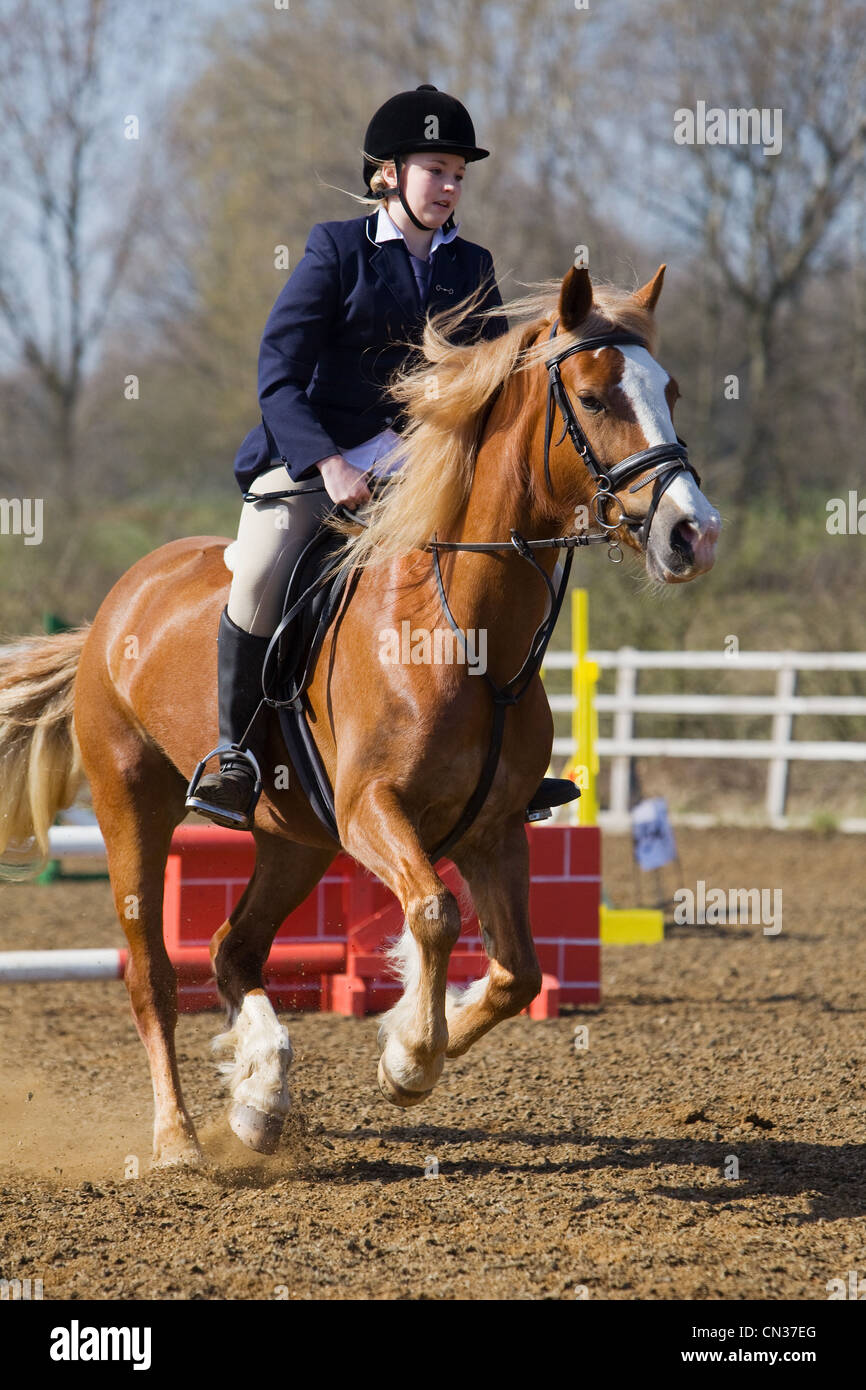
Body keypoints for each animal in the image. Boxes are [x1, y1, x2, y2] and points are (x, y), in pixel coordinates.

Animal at [0, 265, 720, 1168]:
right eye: (592, 397)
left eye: (672, 390)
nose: (693, 533)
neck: (466, 630)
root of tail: (117, 601)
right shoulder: (373, 809)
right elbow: (435, 914)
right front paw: (409, 1058)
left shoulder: (493, 829)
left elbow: (518, 972)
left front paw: (405, 1048)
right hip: (135, 805)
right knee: (151, 973)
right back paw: (179, 1139)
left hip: (295, 840)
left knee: (233, 948)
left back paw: (259, 1099)